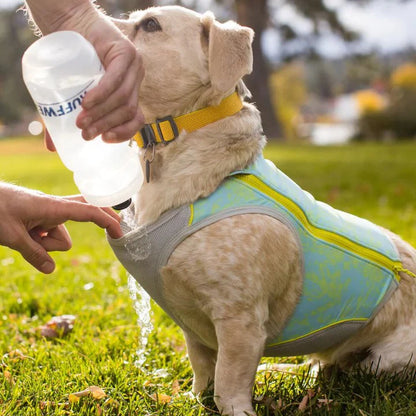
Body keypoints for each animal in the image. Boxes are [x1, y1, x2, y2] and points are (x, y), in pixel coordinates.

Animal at [108, 7, 416, 416]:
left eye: (151, 25)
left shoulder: (240, 320)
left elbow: (227, 382)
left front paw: (235, 408)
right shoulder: (194, 329)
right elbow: (202, 370)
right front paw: (194, 398)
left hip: (383, 362)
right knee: (322, 367)